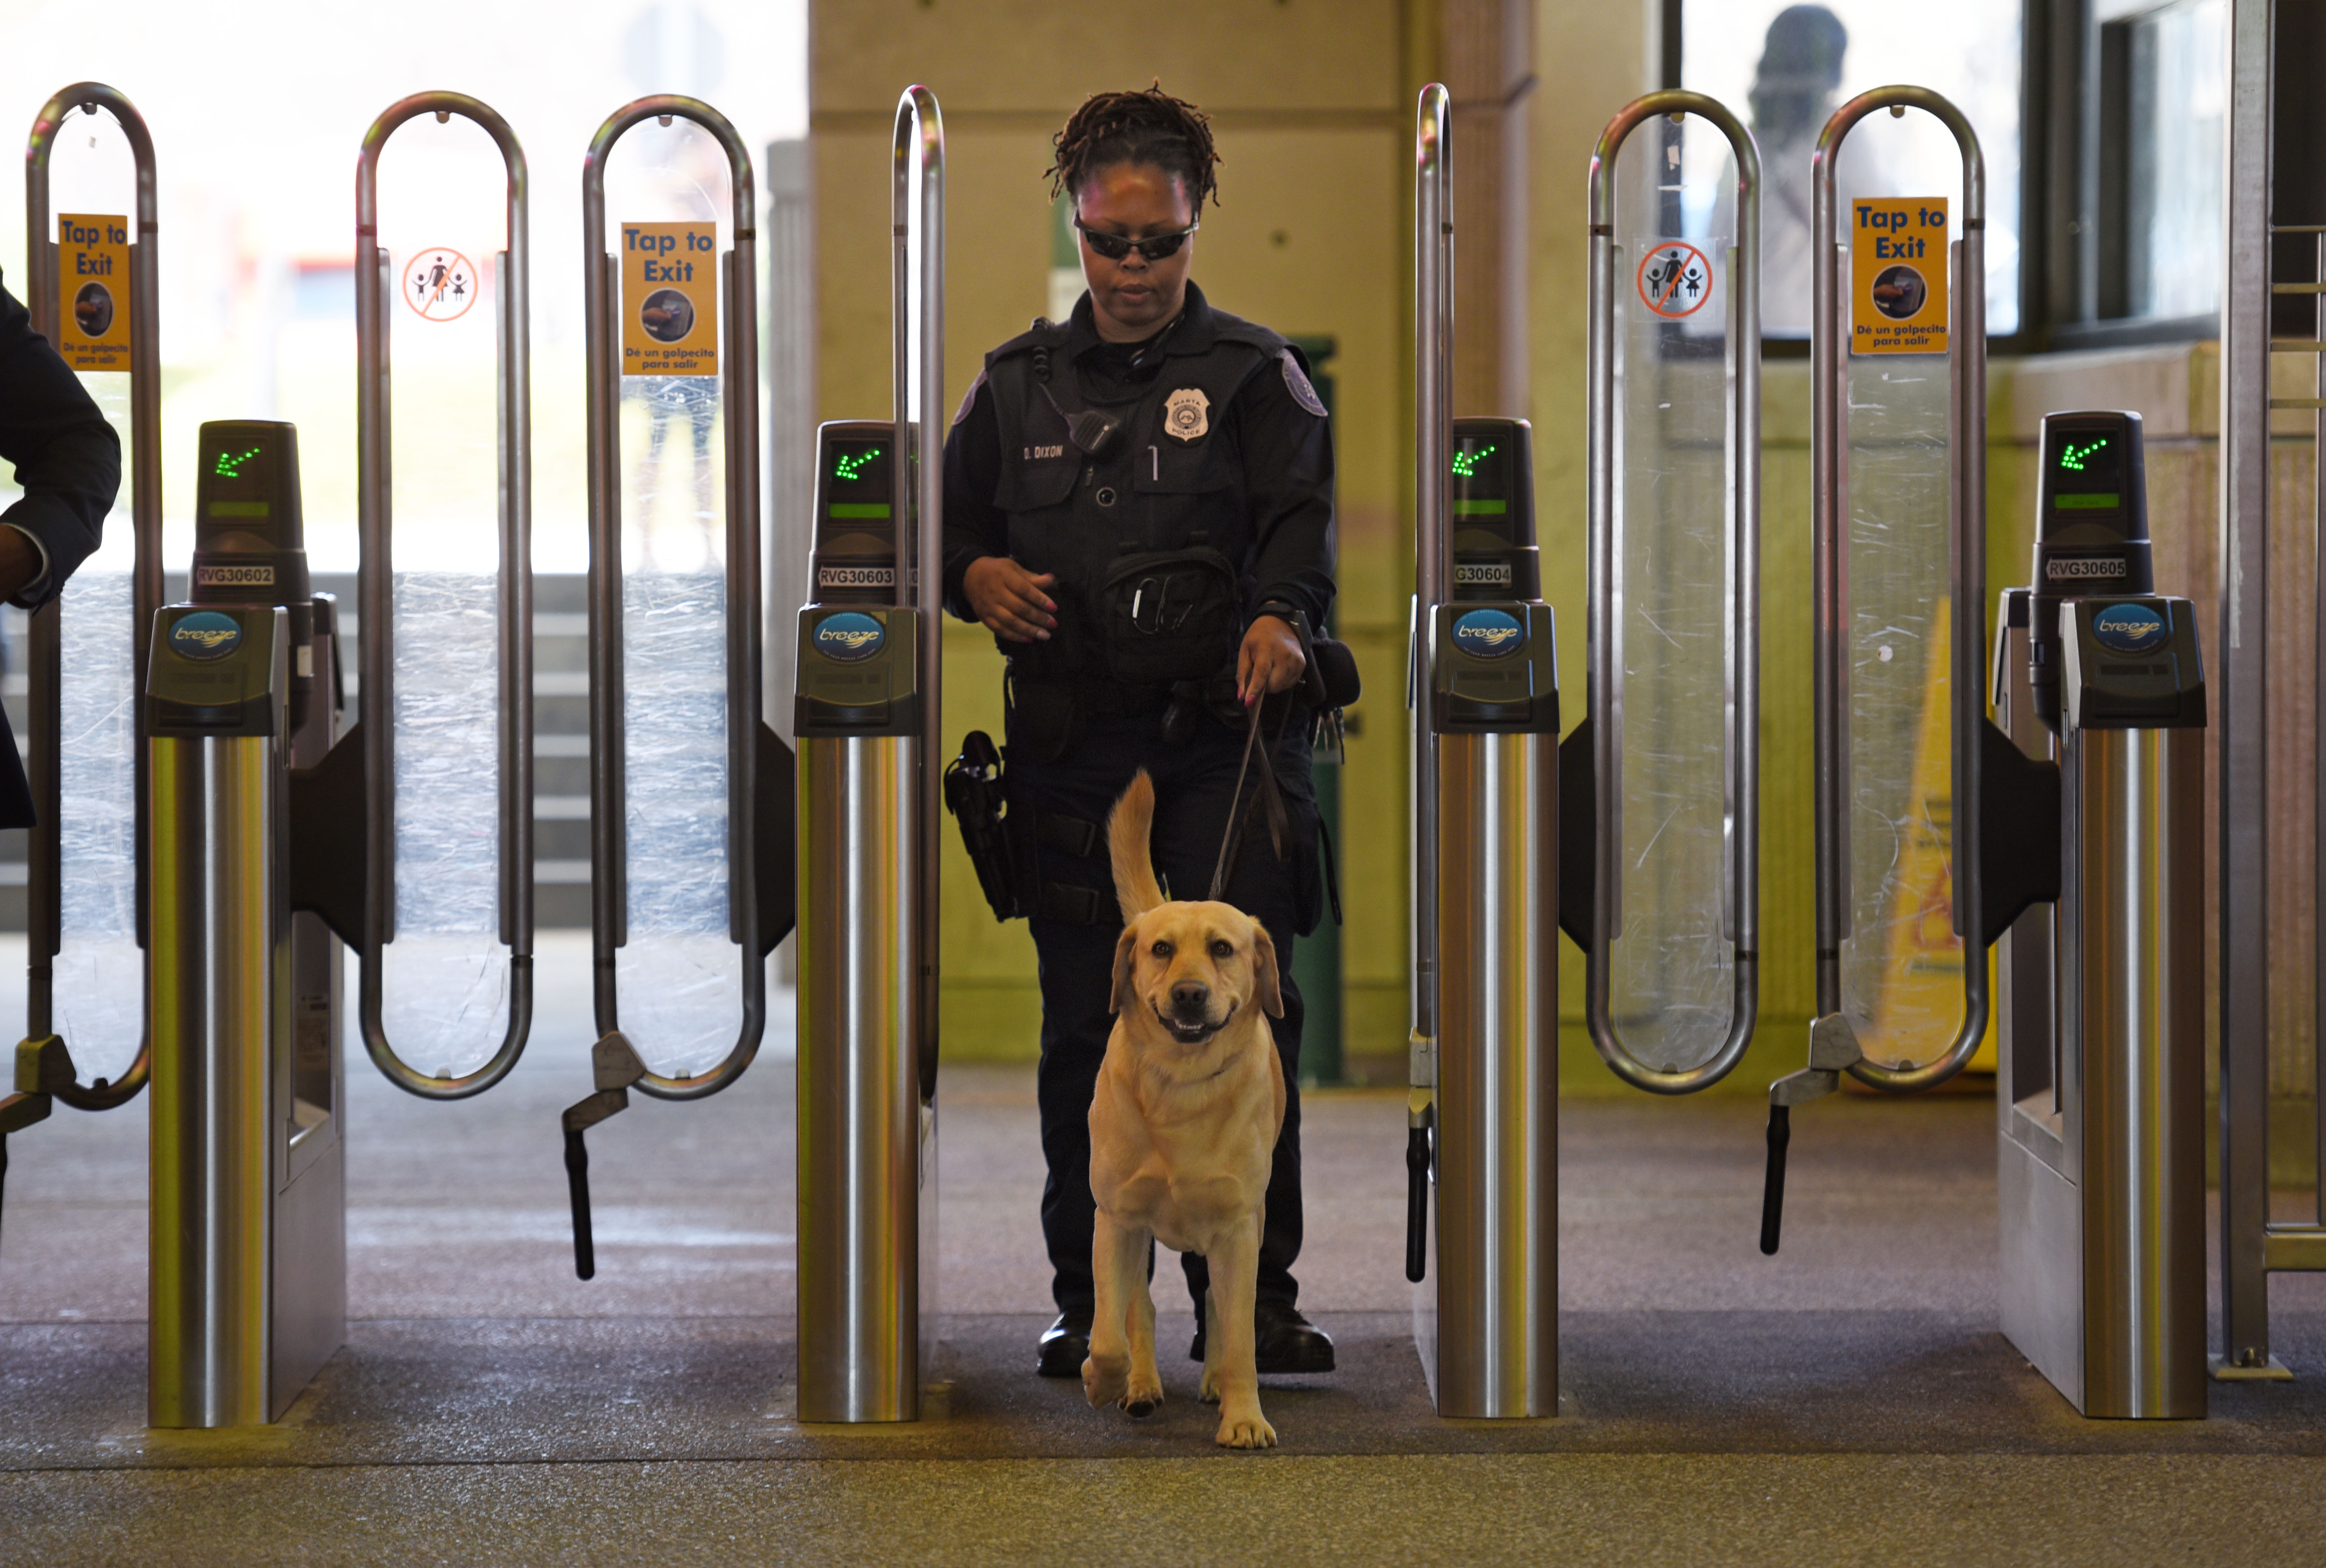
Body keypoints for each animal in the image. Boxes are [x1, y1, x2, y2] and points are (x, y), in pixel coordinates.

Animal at [1079, 763, 1284, 1451]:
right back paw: (1139, 1386)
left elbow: (1240, 1334)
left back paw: (1217, 1383)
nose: (1190, 995)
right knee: (1138, 1310)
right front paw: (1104, 1379)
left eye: (1222, 949)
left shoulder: (1237, 1229)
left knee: (1220, 1311)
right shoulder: (1116, 1219)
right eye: (1161, 949)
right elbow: (1111, 1328)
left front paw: (1243, 1415)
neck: (1179, 1083)